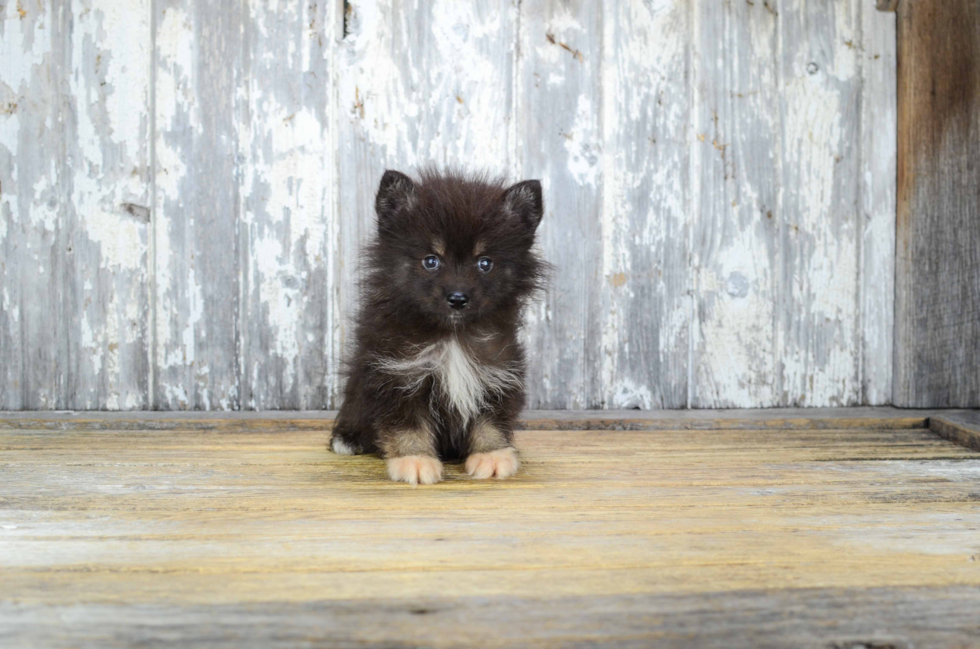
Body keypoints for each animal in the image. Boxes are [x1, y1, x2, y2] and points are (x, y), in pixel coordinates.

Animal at [332, 170, 548, 484]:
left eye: (485, 263)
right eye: (431, 261)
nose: (457, 298)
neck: (452, 335)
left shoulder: (497, 371)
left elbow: (490, 419)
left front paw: (492, 454)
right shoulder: (397, 375)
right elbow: (407, 424)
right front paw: (414, 460)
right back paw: (347, 439)